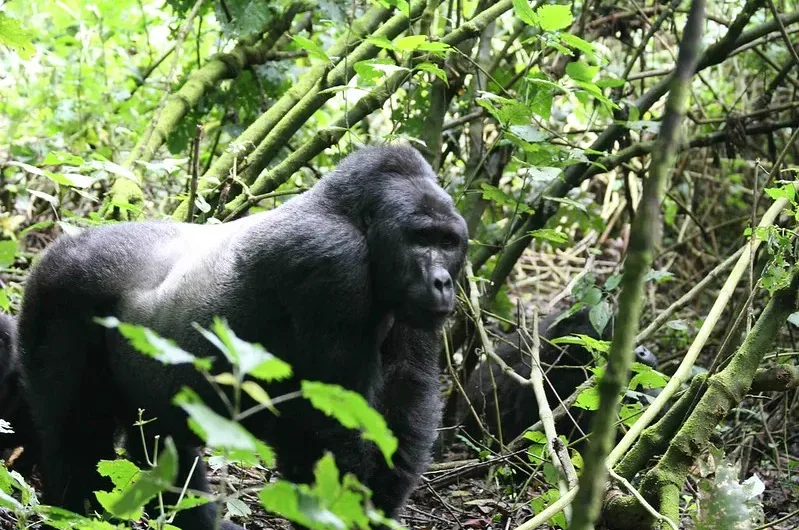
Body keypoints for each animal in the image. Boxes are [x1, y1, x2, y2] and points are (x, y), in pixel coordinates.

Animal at [17, 144, 468, 528]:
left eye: (448, 242)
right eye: (420, 239)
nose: (443, 282)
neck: (355, 219)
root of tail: (54, 248)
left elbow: (403, 406)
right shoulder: (331, 263)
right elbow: (331, 428)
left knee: (162, 442)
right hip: (54, 295)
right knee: (72, 430)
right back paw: (76, 509)